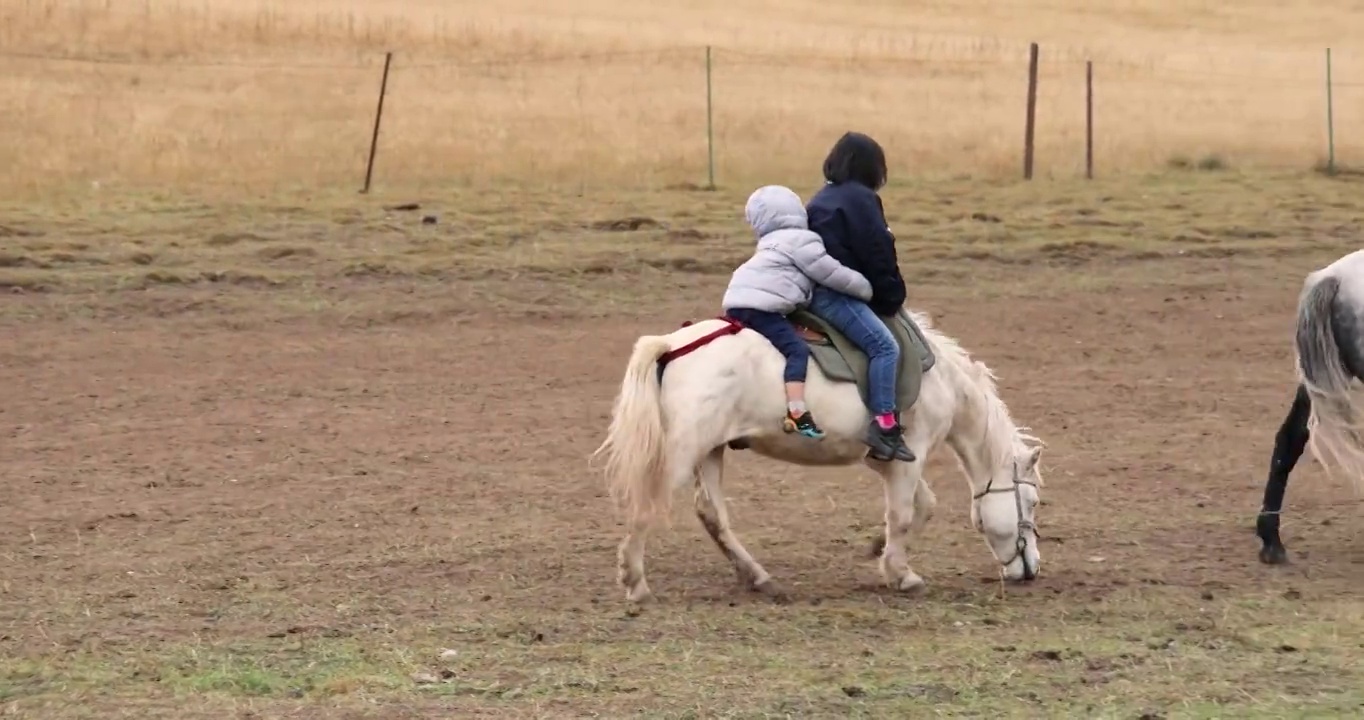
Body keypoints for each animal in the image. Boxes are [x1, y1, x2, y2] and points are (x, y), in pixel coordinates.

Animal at [589, 309, 1042, 602]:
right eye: (1034, 501)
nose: (1031, 569)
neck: (942, 379)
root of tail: (672, 345)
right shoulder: (912, 449)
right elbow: (904, 513)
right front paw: (903, 574)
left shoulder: (891, 458)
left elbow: (922, 506)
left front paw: (880, 551)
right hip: (684, 452)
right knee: (648, 505)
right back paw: (635, 581)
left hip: (711, 450)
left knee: (711, 513)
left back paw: (757, 578)